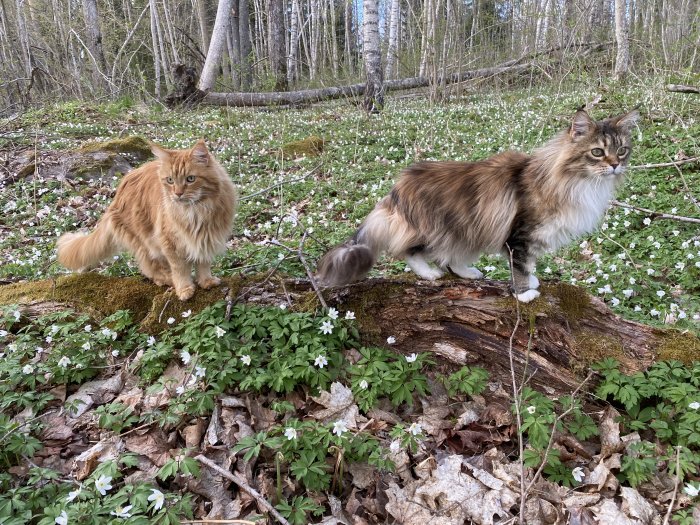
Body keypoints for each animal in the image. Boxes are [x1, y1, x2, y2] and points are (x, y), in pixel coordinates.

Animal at [57, 139, 238, 298]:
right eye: (170, 180)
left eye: (190, 179)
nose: (178, 194)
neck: (195, 211)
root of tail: (117, 195)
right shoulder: (170, 242)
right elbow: (180, 269)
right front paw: (184, 289)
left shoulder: (206, 236)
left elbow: (203, 262)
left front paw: (206, 281)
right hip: (147, 240)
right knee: (150, 268)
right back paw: (168, 279)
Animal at [318, 108, 640, 300]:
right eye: (597, 152)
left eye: (622, 150)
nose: (615, 165)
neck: (576, 182)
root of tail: (396, 187)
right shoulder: (520, 236)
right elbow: (521, 267)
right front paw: (524, 294)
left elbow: (529, 264)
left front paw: (533, 282)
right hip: (439, 227)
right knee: (410, 251)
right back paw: (429, 273)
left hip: (468, 228)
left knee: (451, 258)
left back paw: (469, 273)